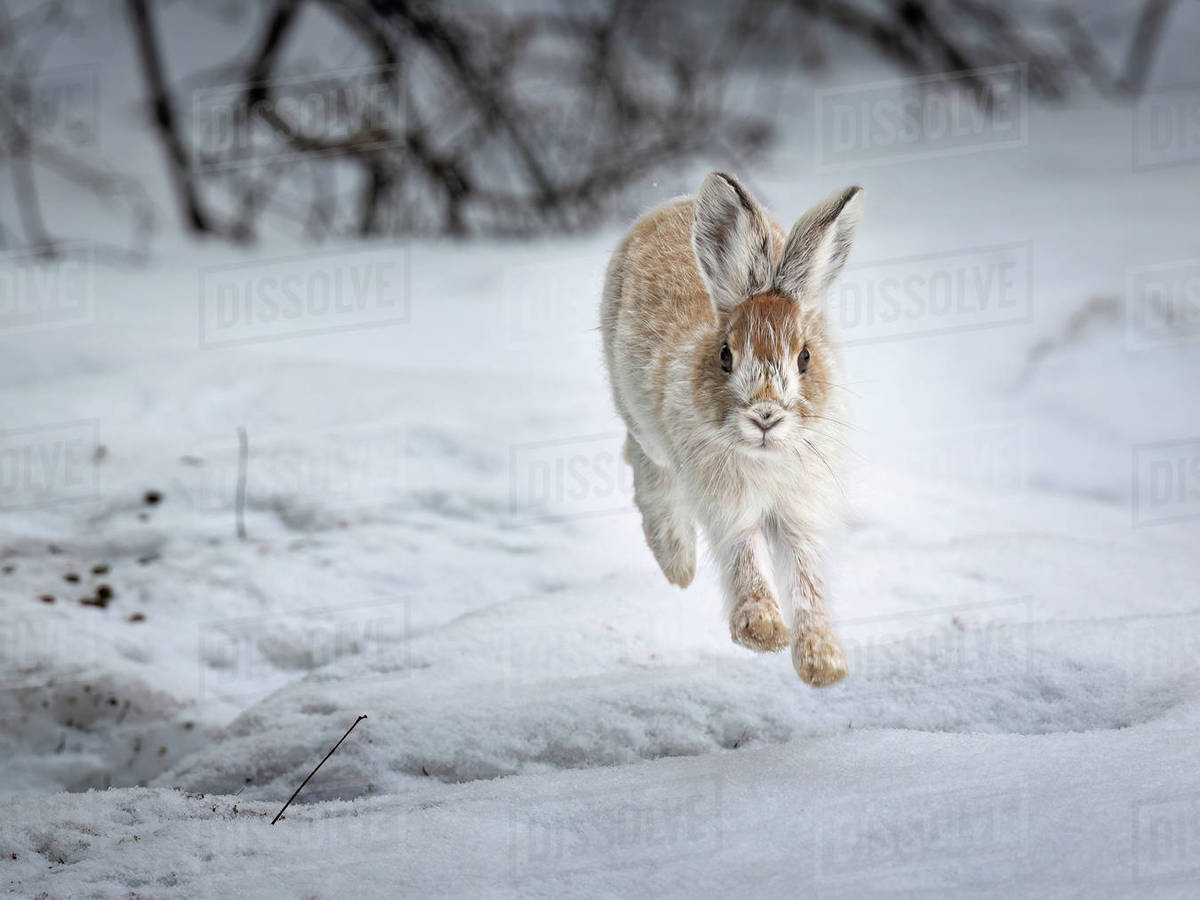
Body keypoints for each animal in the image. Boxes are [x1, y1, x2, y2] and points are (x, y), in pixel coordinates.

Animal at [601, 172, 862, 687]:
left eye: (804, 357)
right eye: (726, 355)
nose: (765, 415)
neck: (766, 457)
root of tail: (672, 204)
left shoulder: (801, 512)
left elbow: (805, 574)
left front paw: (823, 663)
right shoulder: (728, 506)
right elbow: (745, 554)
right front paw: (762, 632)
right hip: (643, 424)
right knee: (646, 467)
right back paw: (677, 564)